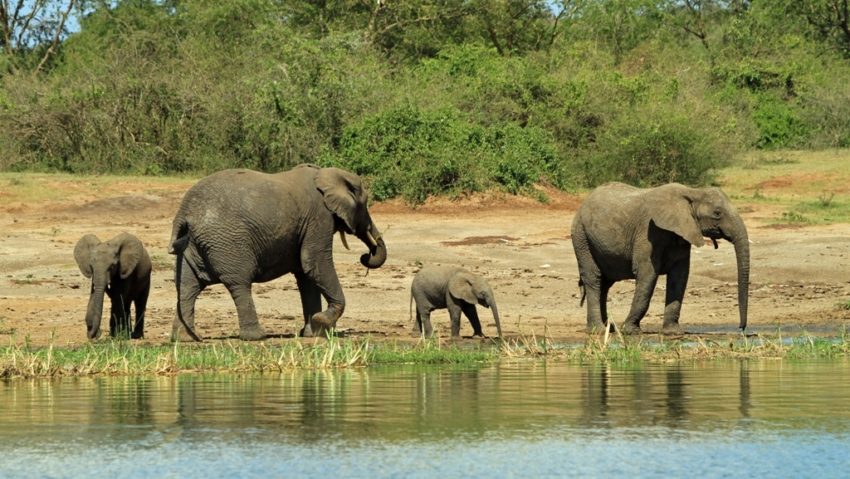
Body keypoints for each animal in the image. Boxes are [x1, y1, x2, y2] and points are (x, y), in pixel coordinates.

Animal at [167, 164, 386, 342]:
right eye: (365, 204)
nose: (365, 256)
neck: (327, 174)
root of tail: (184, 212)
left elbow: (306, 276)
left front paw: (310, 332)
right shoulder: (319, 217)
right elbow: (314, 263)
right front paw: (322, 324)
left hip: (191, 245)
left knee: (187, 286)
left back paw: (185, 338)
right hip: (227, 241)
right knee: (239, 283)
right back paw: (256, 337)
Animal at [568, 182, 748, 336]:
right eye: (717, 214)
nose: (741, 328)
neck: (692, 192)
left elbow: (679, 277)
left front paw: (673, 333)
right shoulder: (648, 233)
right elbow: (647, 275)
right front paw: (631, 331)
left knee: (605, 284)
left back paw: (609, 329)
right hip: (581, 237)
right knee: (594, 279)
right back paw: (598, 330)